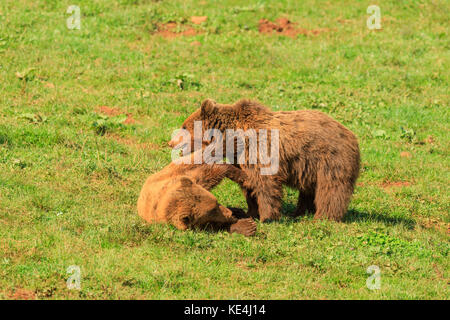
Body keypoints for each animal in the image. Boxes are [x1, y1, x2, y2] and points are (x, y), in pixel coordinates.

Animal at [169, 99, 362, 222]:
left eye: (184, 126)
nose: (170, 142)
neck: (234, 139)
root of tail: (352, 135)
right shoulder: (242, 158)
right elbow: (249, 185)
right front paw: (251, 212)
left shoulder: (259, 149)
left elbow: (265, 184)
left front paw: (267, 217)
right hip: (309, 168)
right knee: (309, 190)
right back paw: (300, 212)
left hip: (330, 159)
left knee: (331, 189)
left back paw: (324, 217)